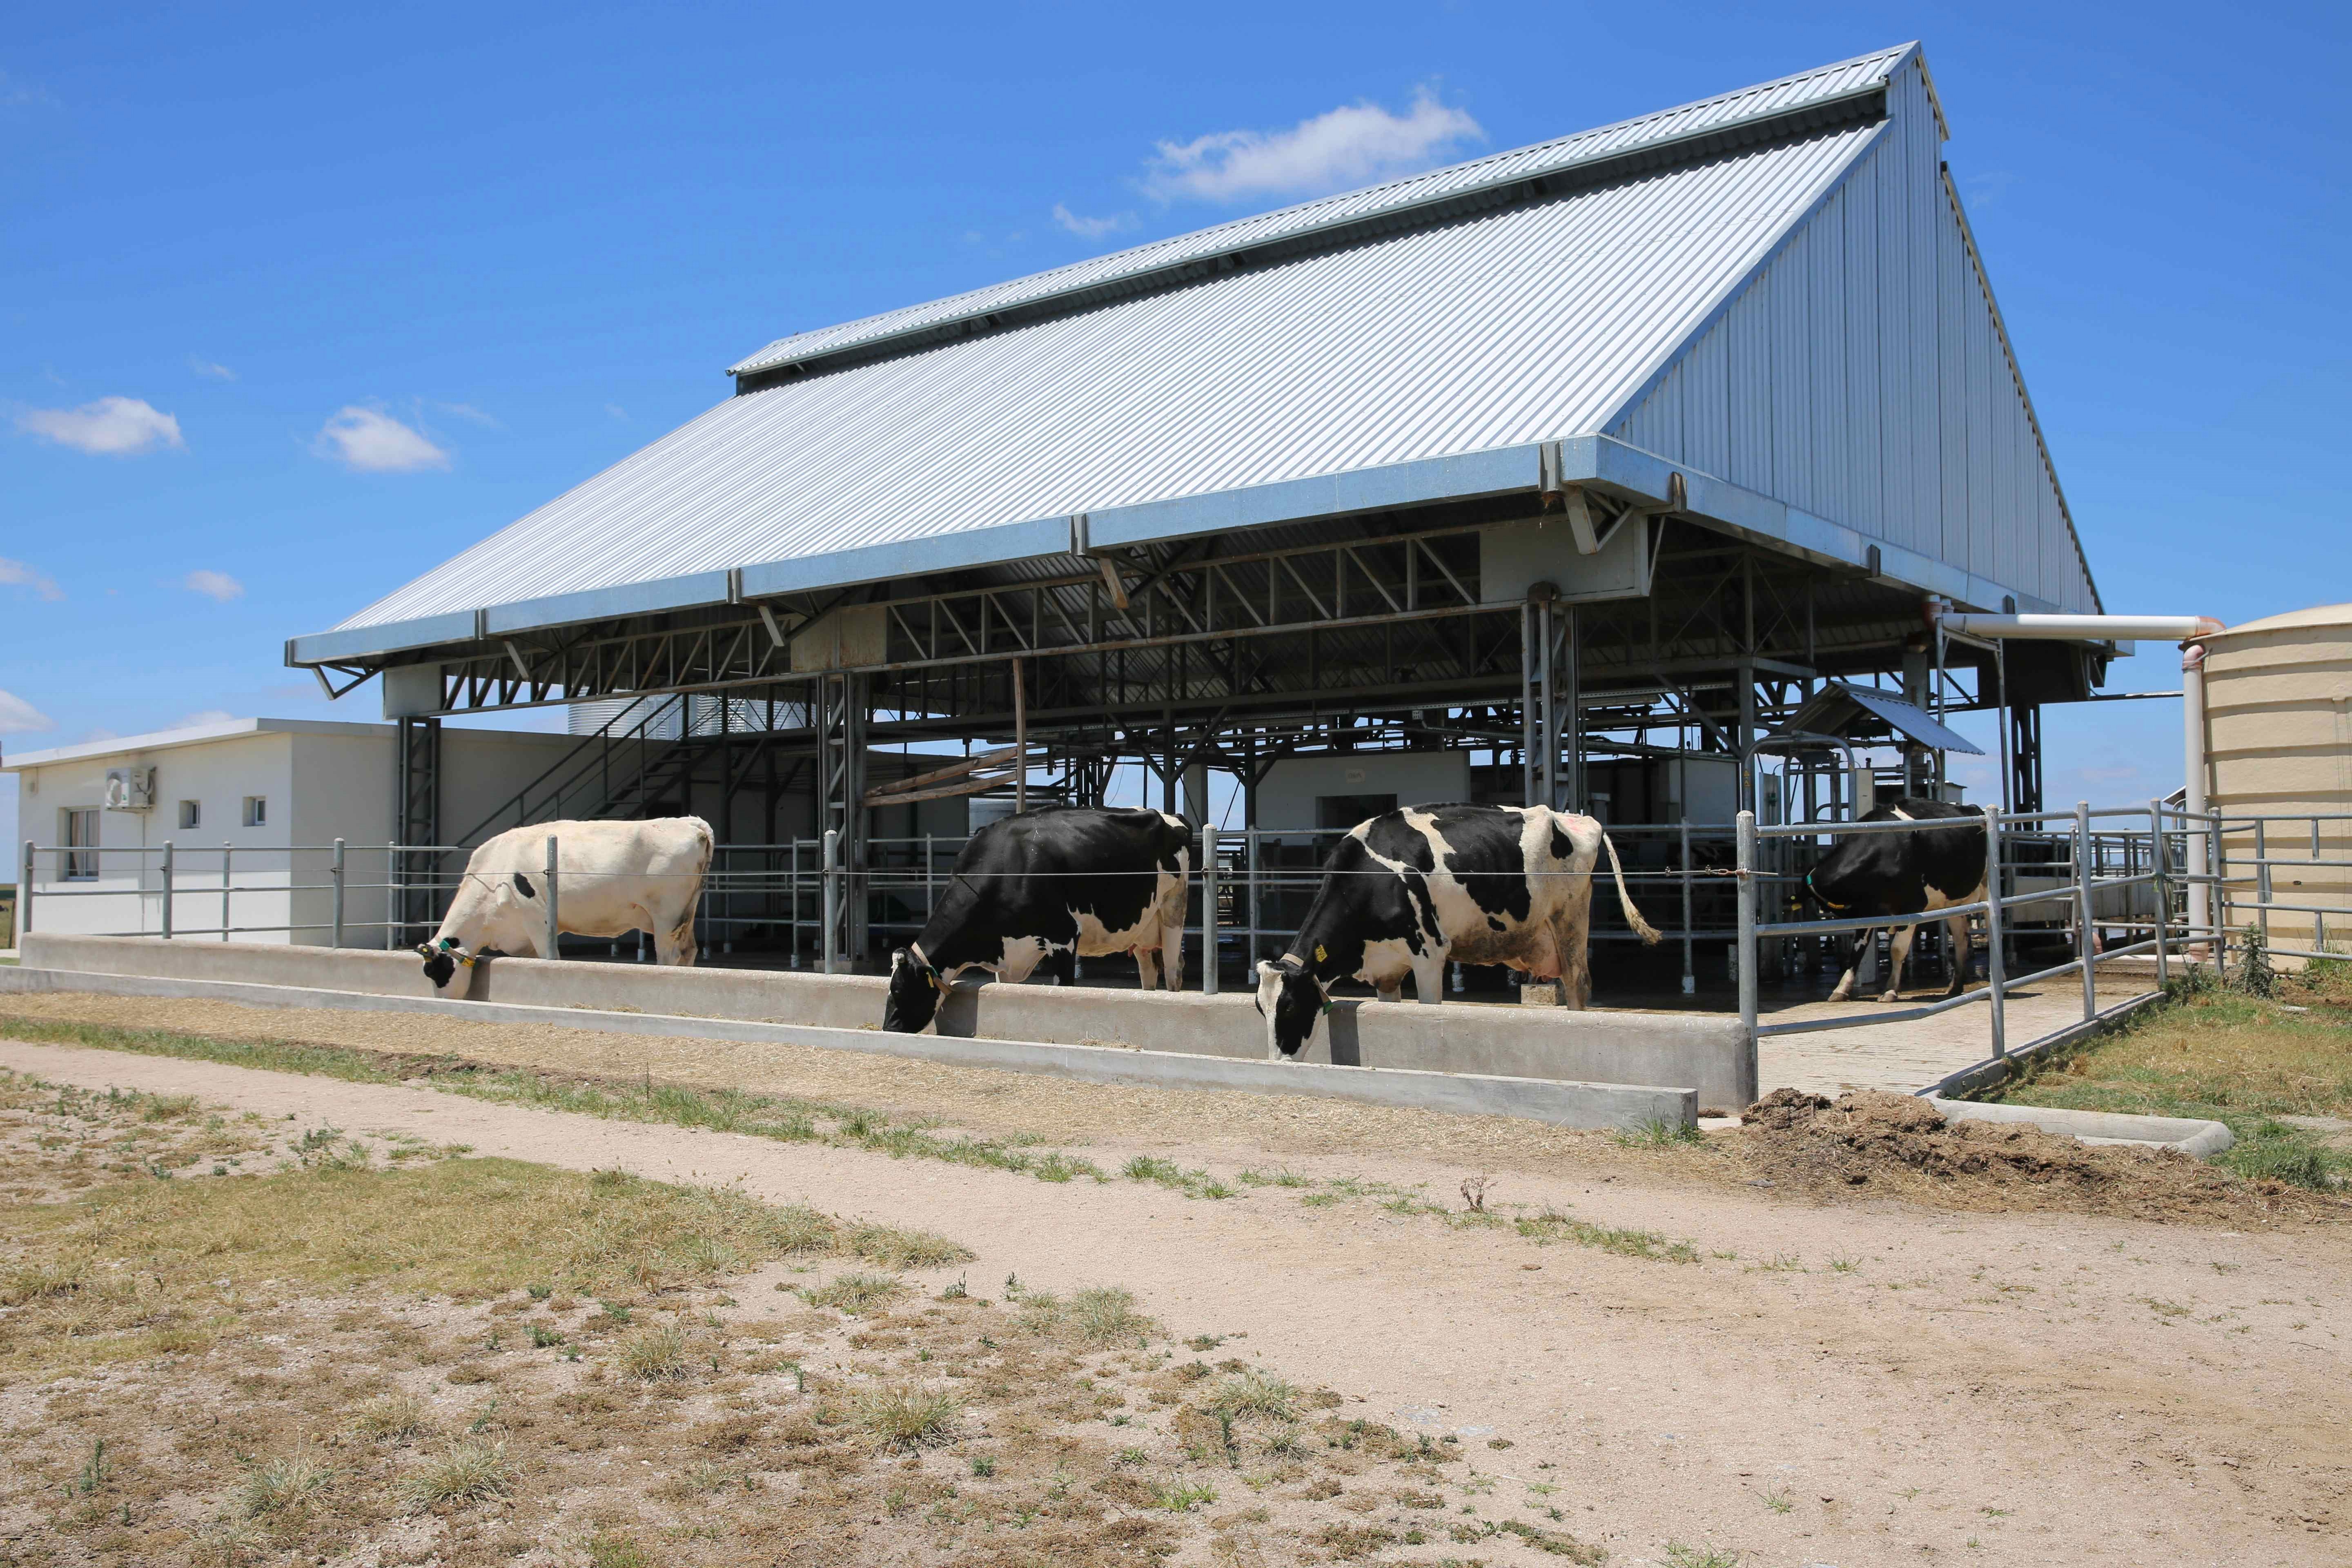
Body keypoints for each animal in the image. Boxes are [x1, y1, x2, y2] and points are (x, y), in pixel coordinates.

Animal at [414, 818, 710, 1001]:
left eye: (433, 973)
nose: (442, 1004)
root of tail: (689, 822)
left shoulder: (537, 919)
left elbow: (550, 958)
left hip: (665, 916)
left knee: (670, 956)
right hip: (687, 914)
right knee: (689, 951)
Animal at [880, 804, 1185, 1034]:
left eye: (898, 989)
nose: (888, 1030)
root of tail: (1168, 815)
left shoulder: (1064, 937)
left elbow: (1064, 988)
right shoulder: (1006, 954)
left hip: (1173, 912)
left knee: (1173, 971)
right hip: (1144, 930)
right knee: (1148, 972)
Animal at [1261, 804, 1665, 1062]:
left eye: (1290, 1006)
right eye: (1261, 1009)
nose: (1278, 1063)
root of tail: (1577, 818)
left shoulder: (1429, 953)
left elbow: (1429, 1008)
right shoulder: (1386, 970)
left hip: (1570, 918)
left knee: (1578, 983)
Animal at [1806, 799, 1994, 1006]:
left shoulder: (1912, 906)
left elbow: (1897, 950)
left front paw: (1889, 990)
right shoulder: (1869, 911)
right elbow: (1857, 950)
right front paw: (1842, 989)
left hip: (1985, 889)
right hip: (1954, 902)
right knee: (1961, 938)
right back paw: (1955, 986)